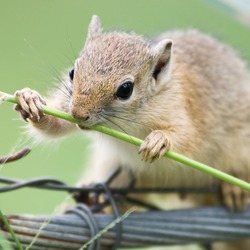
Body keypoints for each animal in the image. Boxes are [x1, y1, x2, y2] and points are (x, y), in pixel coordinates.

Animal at [14, 15, 250, 248]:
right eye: (72, 72)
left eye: (125, 89)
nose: (78, 114)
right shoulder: (66, 105)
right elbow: (55, 125)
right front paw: (30, 100)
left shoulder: (184, 112)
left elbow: (188, 139)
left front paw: (159, 141)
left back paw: (234, 189)